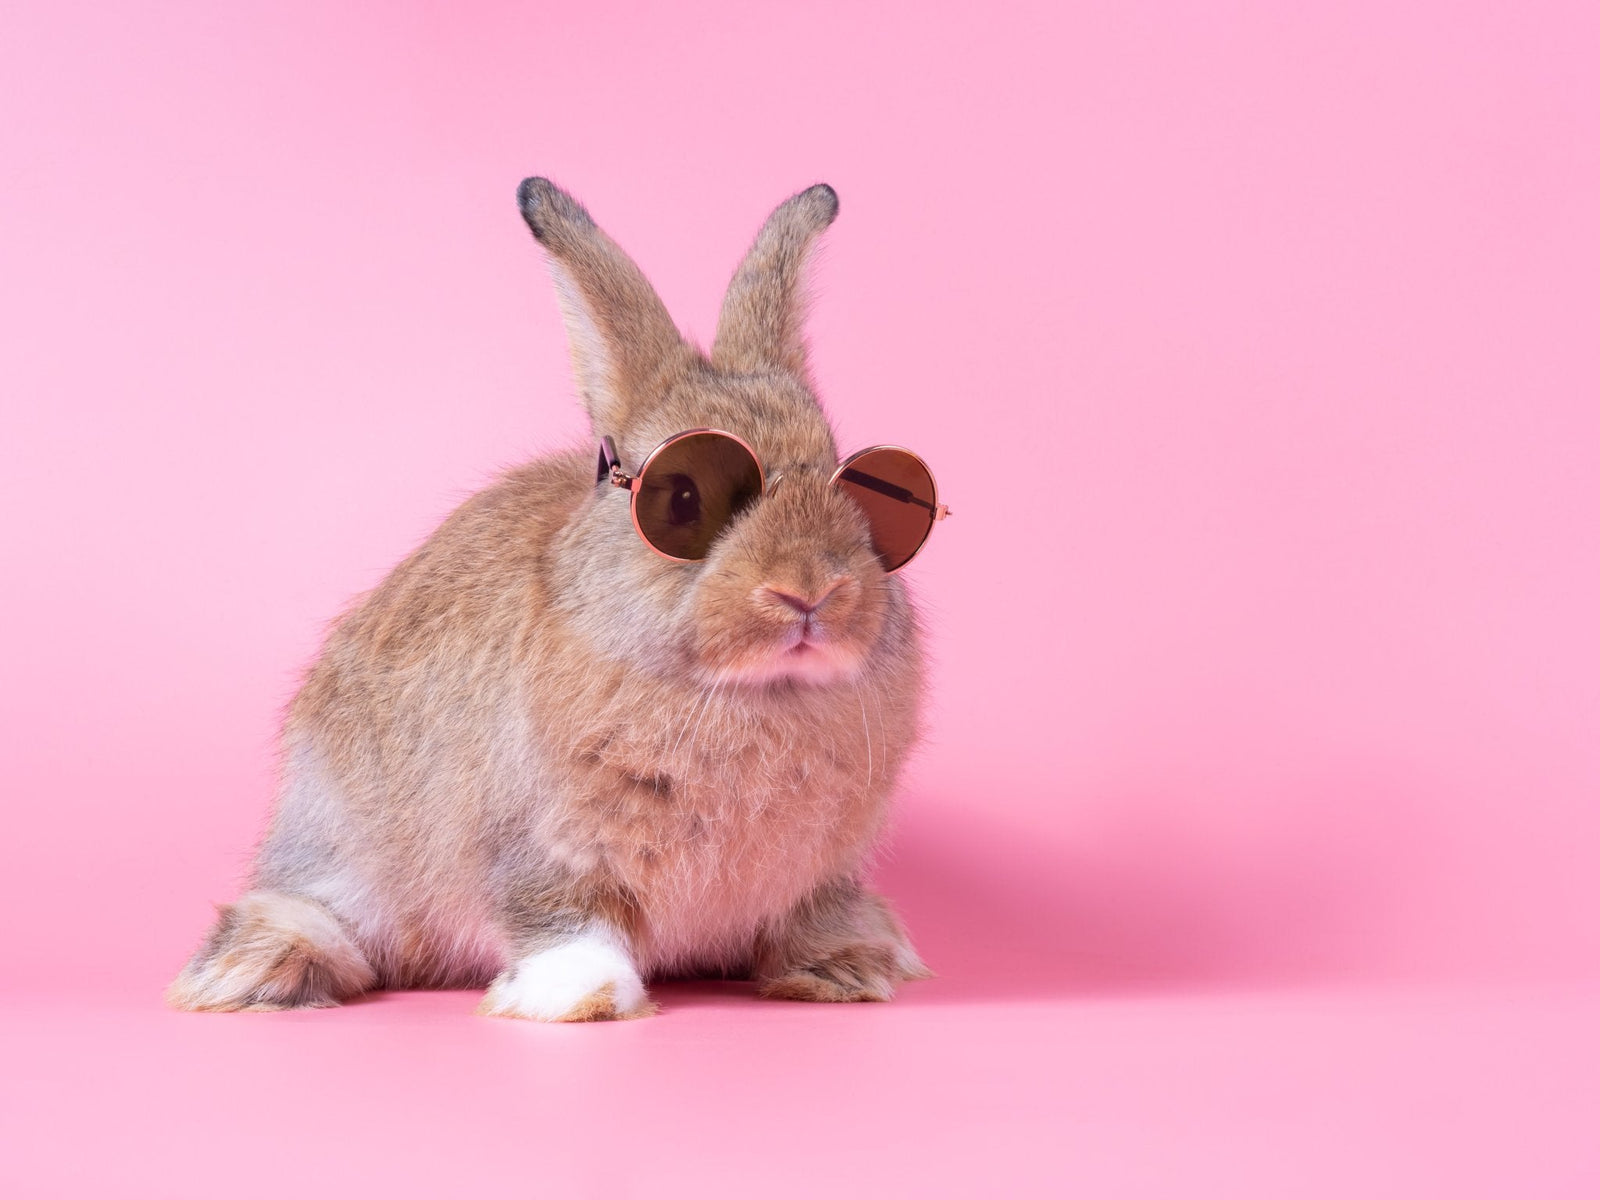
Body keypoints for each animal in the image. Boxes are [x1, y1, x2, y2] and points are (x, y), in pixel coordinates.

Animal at [166, 177, 934, 1020]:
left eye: (867, 494)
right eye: (683, 499)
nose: (811, 590)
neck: (753, 695)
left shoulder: (821, 874)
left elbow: (813, 917)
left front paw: (845, 971)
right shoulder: (537, 845)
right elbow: (562, 917)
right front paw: (584, 997)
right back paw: (258, 968)